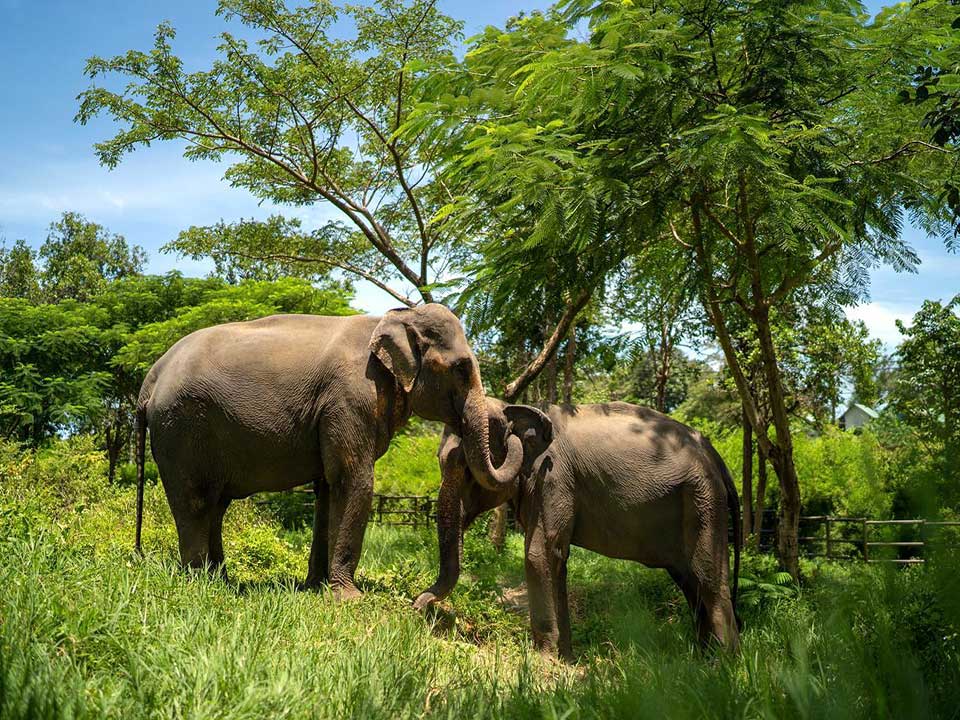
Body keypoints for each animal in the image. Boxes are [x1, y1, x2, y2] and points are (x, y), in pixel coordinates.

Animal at [133, 304, 526, 599]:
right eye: (461, 369)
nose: (511, 431)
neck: (397, 316)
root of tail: (151, 378)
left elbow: (327, 487)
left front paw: (316, 588)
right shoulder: (351, 398)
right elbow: (353, 480)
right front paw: (348, 598)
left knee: (216, 504)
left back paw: (222, 581)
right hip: (181, 426)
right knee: (195, 500)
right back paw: (201, 584)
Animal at [414, 398, 742, 657]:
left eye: (468, 469)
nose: (419, 608)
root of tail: (714, 455)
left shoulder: (553, 477)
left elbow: (539, 555)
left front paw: (544, 659)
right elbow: (555, 560)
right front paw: (565, 658)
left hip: (703, 500)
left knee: (707, 579)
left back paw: (724, 666)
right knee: (689, 581)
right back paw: (702, 660)